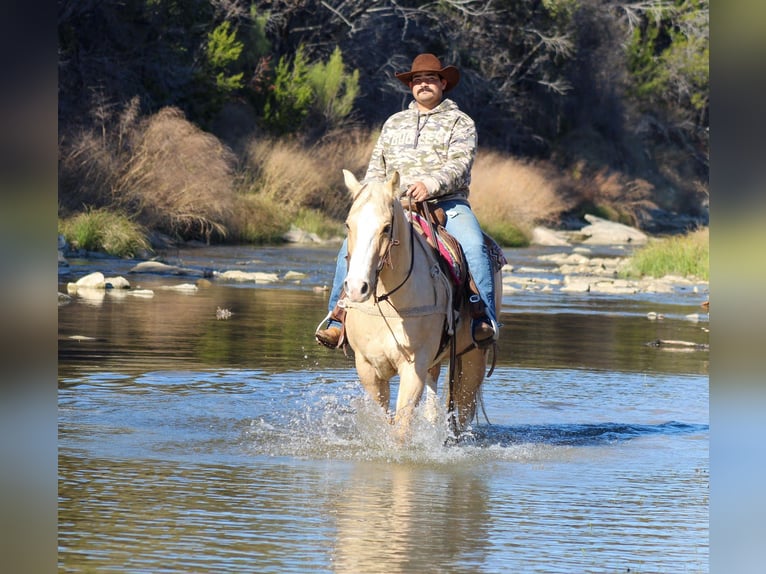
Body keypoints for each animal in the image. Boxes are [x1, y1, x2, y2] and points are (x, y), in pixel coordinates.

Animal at [338, 169, 503, 439]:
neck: (388, 304)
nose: (356, 288)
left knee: (463, 413)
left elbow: (401, 429)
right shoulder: (367, 367)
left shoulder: (413, 368)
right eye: (348, 224)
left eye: (386, 228)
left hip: (474, 358)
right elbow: (385, 420)